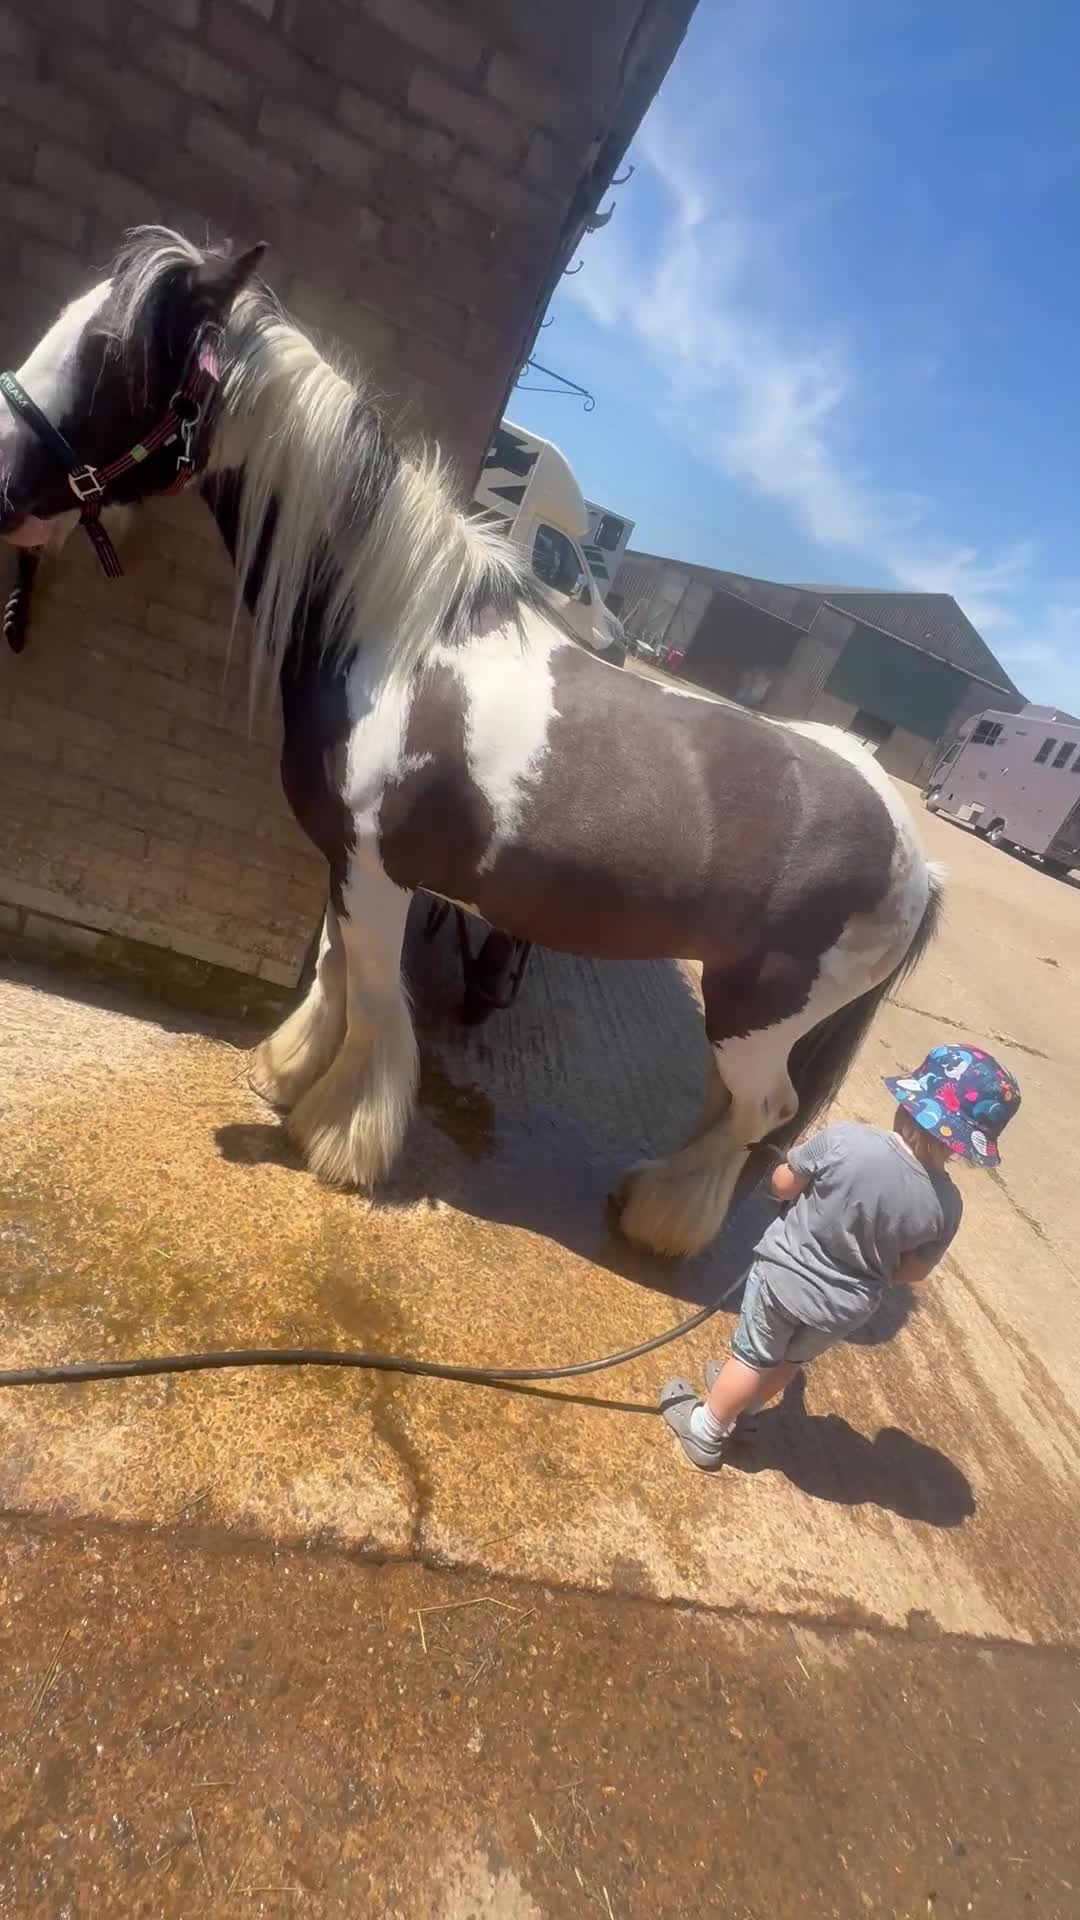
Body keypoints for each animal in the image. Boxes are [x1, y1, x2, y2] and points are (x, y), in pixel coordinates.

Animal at [0, 228, 944, 1258]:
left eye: (109, 352)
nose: (1, 492)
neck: (398, 636)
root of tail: (916, 856)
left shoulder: (378, 872)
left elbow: (376, 999)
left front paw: (342, 1142)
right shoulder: (344, 862)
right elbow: (336, 975)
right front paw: (288, 1080)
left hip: (760, 1015)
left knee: (758, 1110)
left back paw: (663, 1222)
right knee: (728, 1108)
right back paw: (651, 1197)